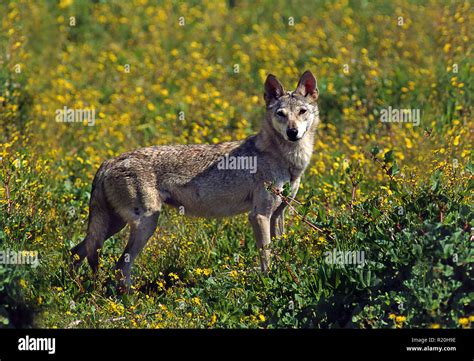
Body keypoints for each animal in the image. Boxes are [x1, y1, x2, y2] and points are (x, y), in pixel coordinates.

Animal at [70, 70, 320, 288]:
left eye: (302, 112)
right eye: (281, 114)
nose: (292, 133)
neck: (287, 161)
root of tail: (109, 161)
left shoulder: (277, 215)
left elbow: (280, 253)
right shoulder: (259, 215)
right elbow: (266, 258)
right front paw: (268, 284)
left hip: (117, 225)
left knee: (77, 251)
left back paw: (75, 291)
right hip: (145, 224)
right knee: (119, 267)